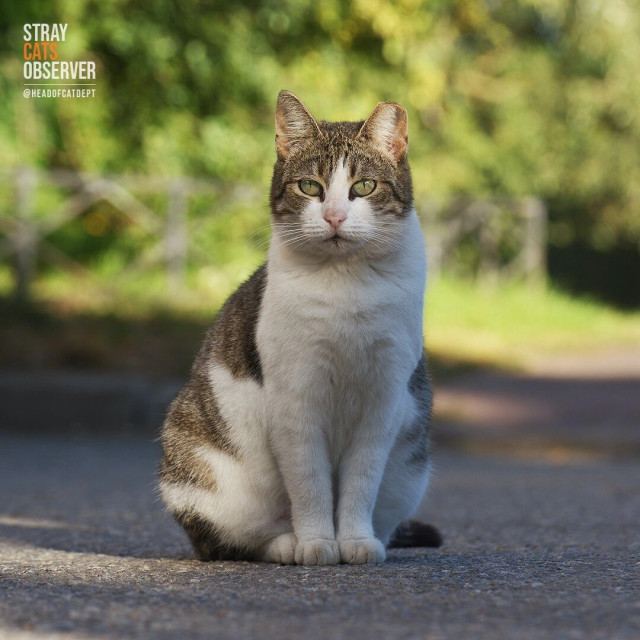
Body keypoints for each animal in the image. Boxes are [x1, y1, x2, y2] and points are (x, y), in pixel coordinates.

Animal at [159, 90, 440, 564]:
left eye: (364, 186)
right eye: (311, 187)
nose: (334, 216)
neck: (346, 283)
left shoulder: (383, 398)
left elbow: (361, 481)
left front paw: (356, 541)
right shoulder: (295, 399)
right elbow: (309, 483)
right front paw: (316, 542)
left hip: (409, 471)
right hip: (196, 460)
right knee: (231, 540)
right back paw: (286, 543)